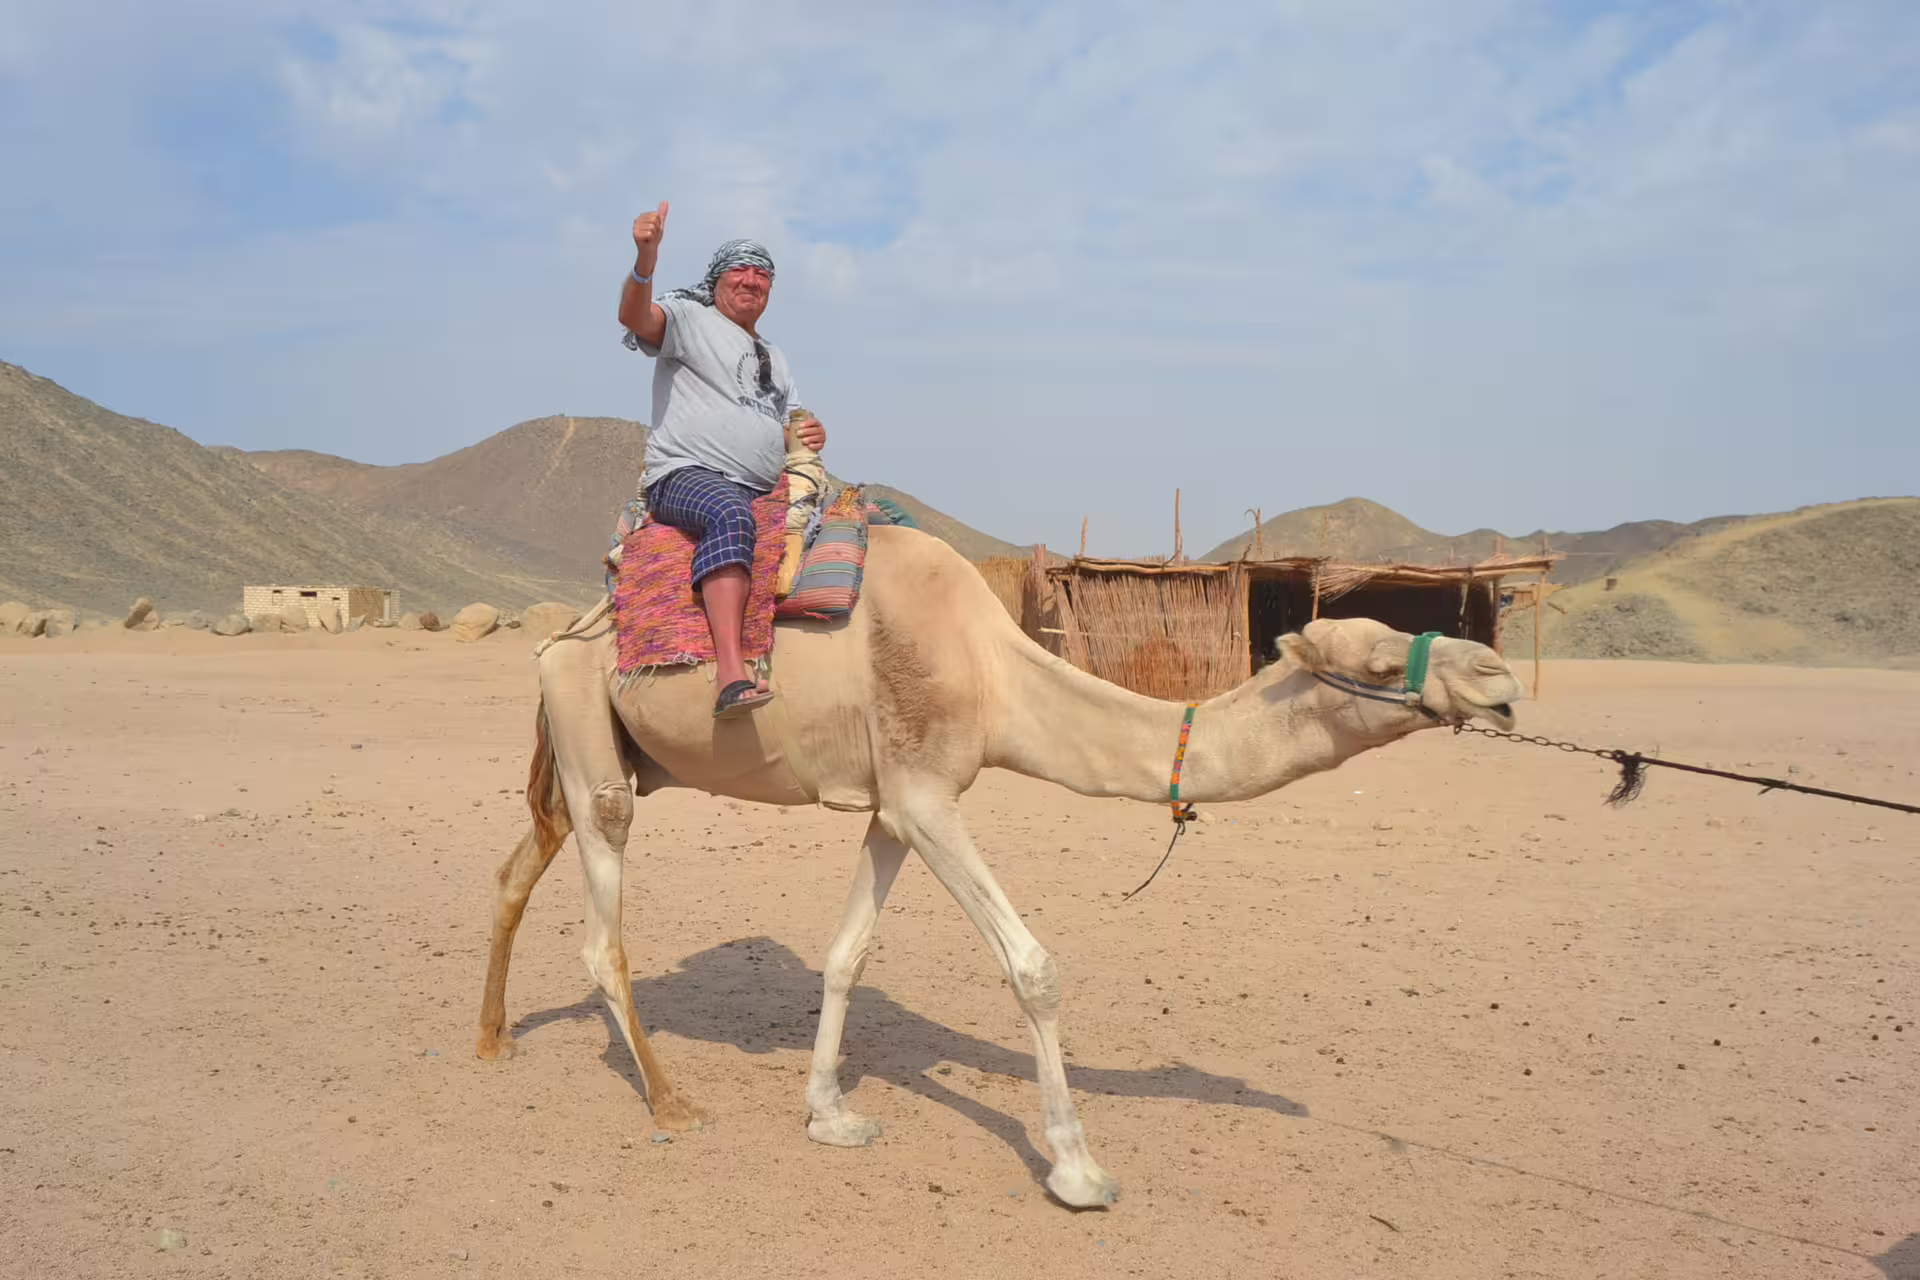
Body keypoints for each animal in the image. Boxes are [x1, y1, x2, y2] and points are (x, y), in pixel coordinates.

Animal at [474, 524, 1524, 1208]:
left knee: (519, 867)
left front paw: (831, 1115)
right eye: (1380, 663)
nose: (1499, 678)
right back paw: (672, 1100)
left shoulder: (895, 804)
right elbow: (1033, 968)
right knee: (600, 929)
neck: (993, 669)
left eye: (1399, 632)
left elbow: (846, 956)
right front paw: (1078, 1170)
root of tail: (562, 631)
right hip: (590, 734)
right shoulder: (928, 798)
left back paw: (492, 1040)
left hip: (601, 750)